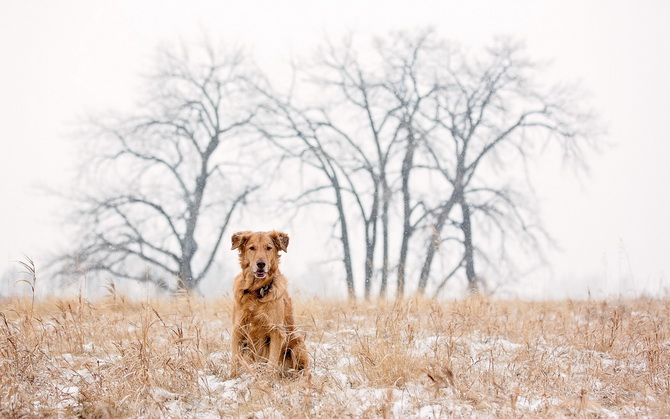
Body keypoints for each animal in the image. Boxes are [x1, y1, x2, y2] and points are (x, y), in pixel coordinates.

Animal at [230, 231, 312, 378]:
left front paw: (269, 380)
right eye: (252, 248)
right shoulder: (237, 329)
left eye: (268, 248)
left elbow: (272, 363)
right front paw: (231, 378)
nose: (261, 264)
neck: (256, 291)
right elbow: (234, 360)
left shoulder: (276, 331)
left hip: (297, 343)